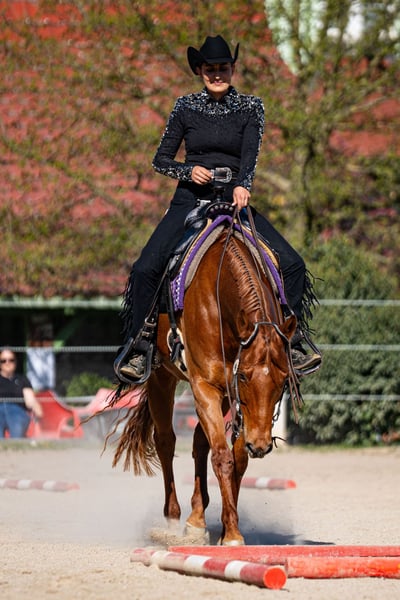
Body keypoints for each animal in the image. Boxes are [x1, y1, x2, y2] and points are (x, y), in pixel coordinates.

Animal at [111, 213, 299, 546]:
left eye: (282, 381)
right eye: (245, 376)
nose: (261, 445)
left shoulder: (231, 395)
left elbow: (237, 458)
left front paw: (225, 528)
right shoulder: (206, 385)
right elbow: (223, 457)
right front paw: (234, 534)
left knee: (200, 441)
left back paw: (197, 519)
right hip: (162, 378)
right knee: (166, 441)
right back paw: (173, 519)